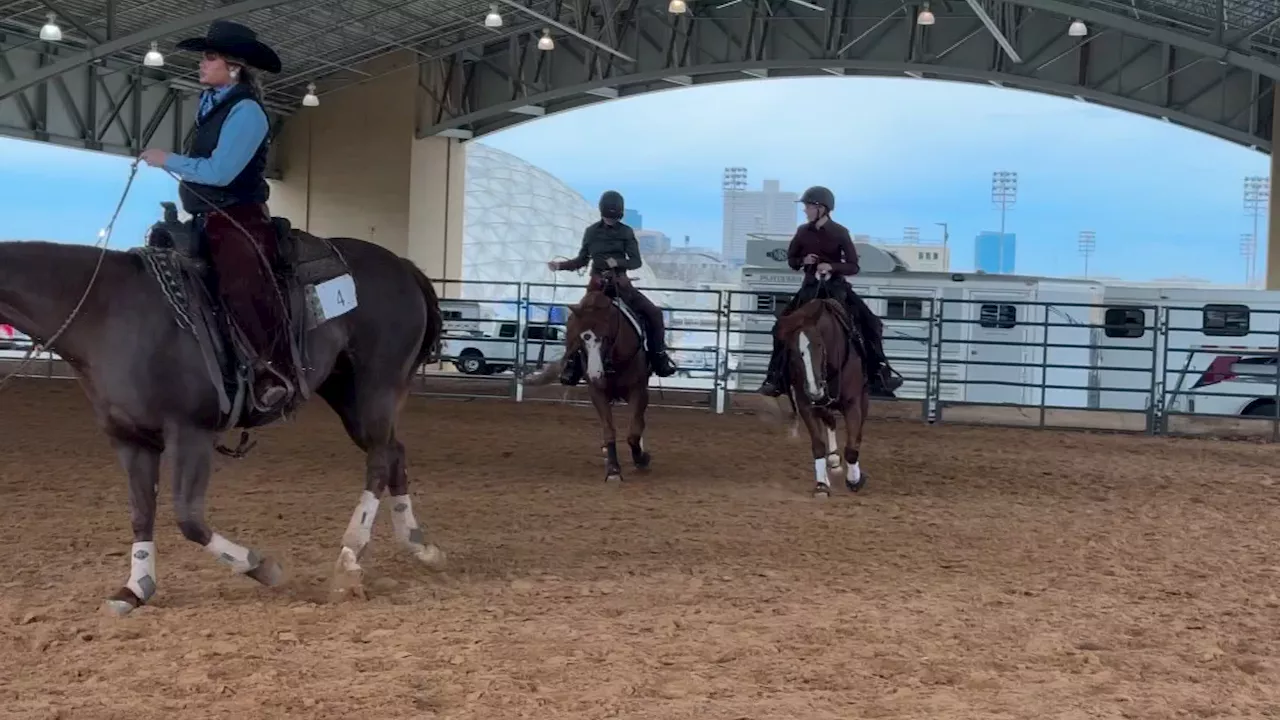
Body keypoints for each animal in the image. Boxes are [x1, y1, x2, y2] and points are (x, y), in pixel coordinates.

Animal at [0, 217, 445, 609]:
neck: (107, 312)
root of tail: (403, 266)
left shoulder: (189, 432)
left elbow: (189, 518)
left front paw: (262, 568)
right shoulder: (130, 439)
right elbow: (141, 512)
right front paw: (135, 589)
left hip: (375, 388)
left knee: (380, 459)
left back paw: (350, 559)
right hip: (346, 394)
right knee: (394, 452)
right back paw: (420, 546)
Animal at [527, 269, 655, 481]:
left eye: (606, 337)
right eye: (580, 340)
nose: (595, 374)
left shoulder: (639, 390)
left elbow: (634, 430)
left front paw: (641, 458)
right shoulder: (597, 393)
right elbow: (608, 429)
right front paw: (613, 469)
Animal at [768, 288, 870, 497]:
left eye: (819, 345)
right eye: (792, 352)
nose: (815, 390)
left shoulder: (853, 403)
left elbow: (852, 447)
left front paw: (854, 480)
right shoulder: (806, 405)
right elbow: (818, 446)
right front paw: (822, 485)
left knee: (856, 434)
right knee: (829, 420)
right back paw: (833, 461)